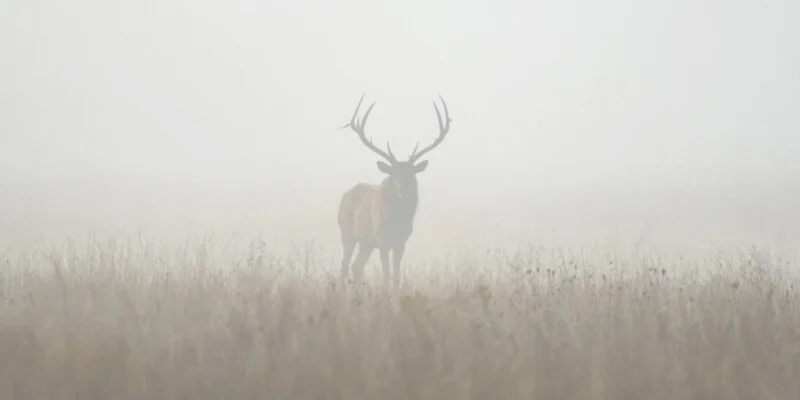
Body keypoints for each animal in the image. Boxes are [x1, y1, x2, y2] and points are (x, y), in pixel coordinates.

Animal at [337, 94, 452, 289]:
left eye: (411, 174)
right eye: (394, 176)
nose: (402, 192)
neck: (396, 220)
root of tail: (344, 197)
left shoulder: (401, 241)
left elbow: (396, 275)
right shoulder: (382, 239)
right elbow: (386, 274)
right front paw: (386, 293)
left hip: (367, 242)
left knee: (356, 266)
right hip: (346, 232)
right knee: (344, 265)